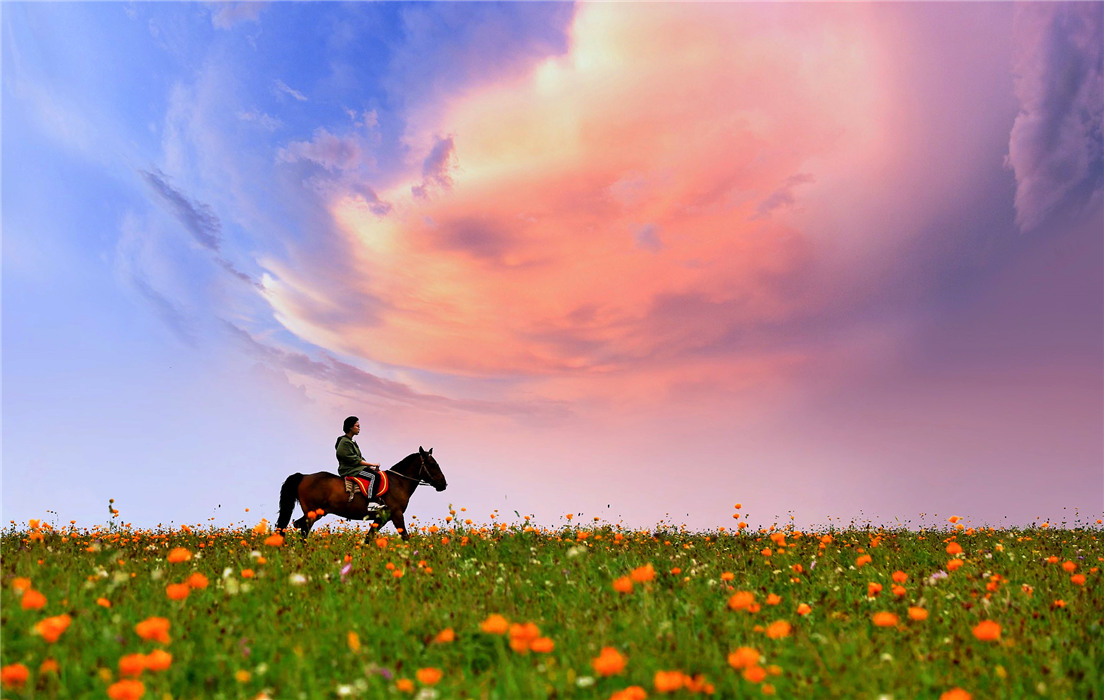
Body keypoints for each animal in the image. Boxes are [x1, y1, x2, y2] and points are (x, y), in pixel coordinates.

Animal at [274, 446, 443, 538]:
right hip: (313, 513)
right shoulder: (396, 515)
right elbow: (405, 537)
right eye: (432, 464)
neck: (399, 482)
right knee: (303, 529)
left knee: (297, 525)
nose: (444, 483)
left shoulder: (381, 518)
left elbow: (369, 538)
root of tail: (304, 476)